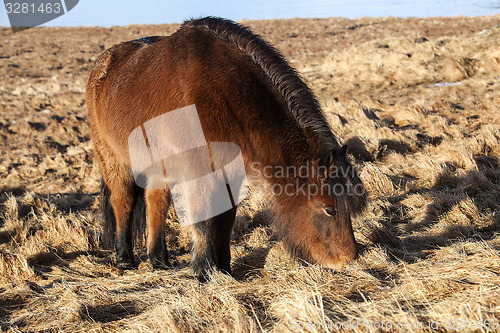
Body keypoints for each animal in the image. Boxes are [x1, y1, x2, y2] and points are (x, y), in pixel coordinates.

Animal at [86, 16, 368, 280]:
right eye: (330, 209)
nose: (348, 260)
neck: (223, 91)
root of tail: (104, 64)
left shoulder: (230, 171)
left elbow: (225, 219)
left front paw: (223, 269)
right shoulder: (198, 171)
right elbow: (203, 219)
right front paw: (204, 271)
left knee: (156, 201)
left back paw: (159, 260)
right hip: (112, 158)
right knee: (123, 200)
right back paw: (124, 258)